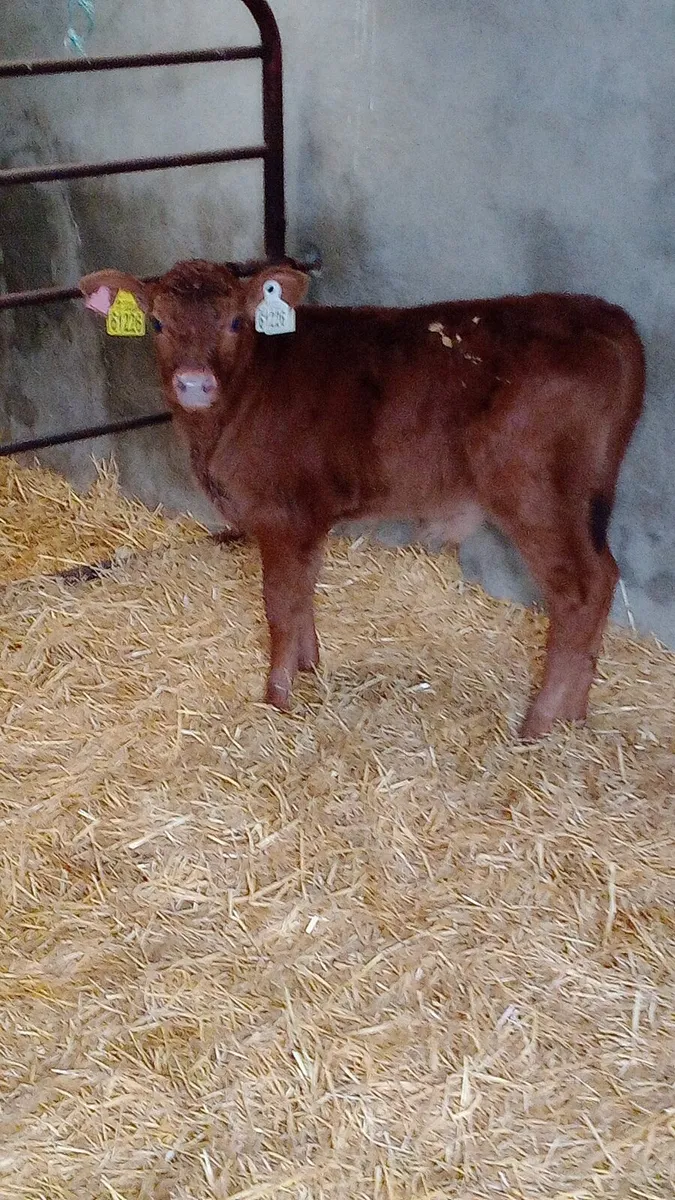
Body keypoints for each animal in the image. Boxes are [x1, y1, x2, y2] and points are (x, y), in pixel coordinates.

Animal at [79, 260, 644, 739]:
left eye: (236, 322)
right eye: (156, 324)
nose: (194, 384)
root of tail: (603, 315)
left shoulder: (281, 515)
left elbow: (279, 603)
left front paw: (277, 697)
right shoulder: (307, 517)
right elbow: (303, 590)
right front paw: (309, 665)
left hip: (537, 496)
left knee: (579, 592)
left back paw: (539, 724)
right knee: (605, 578)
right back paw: (575, 717)